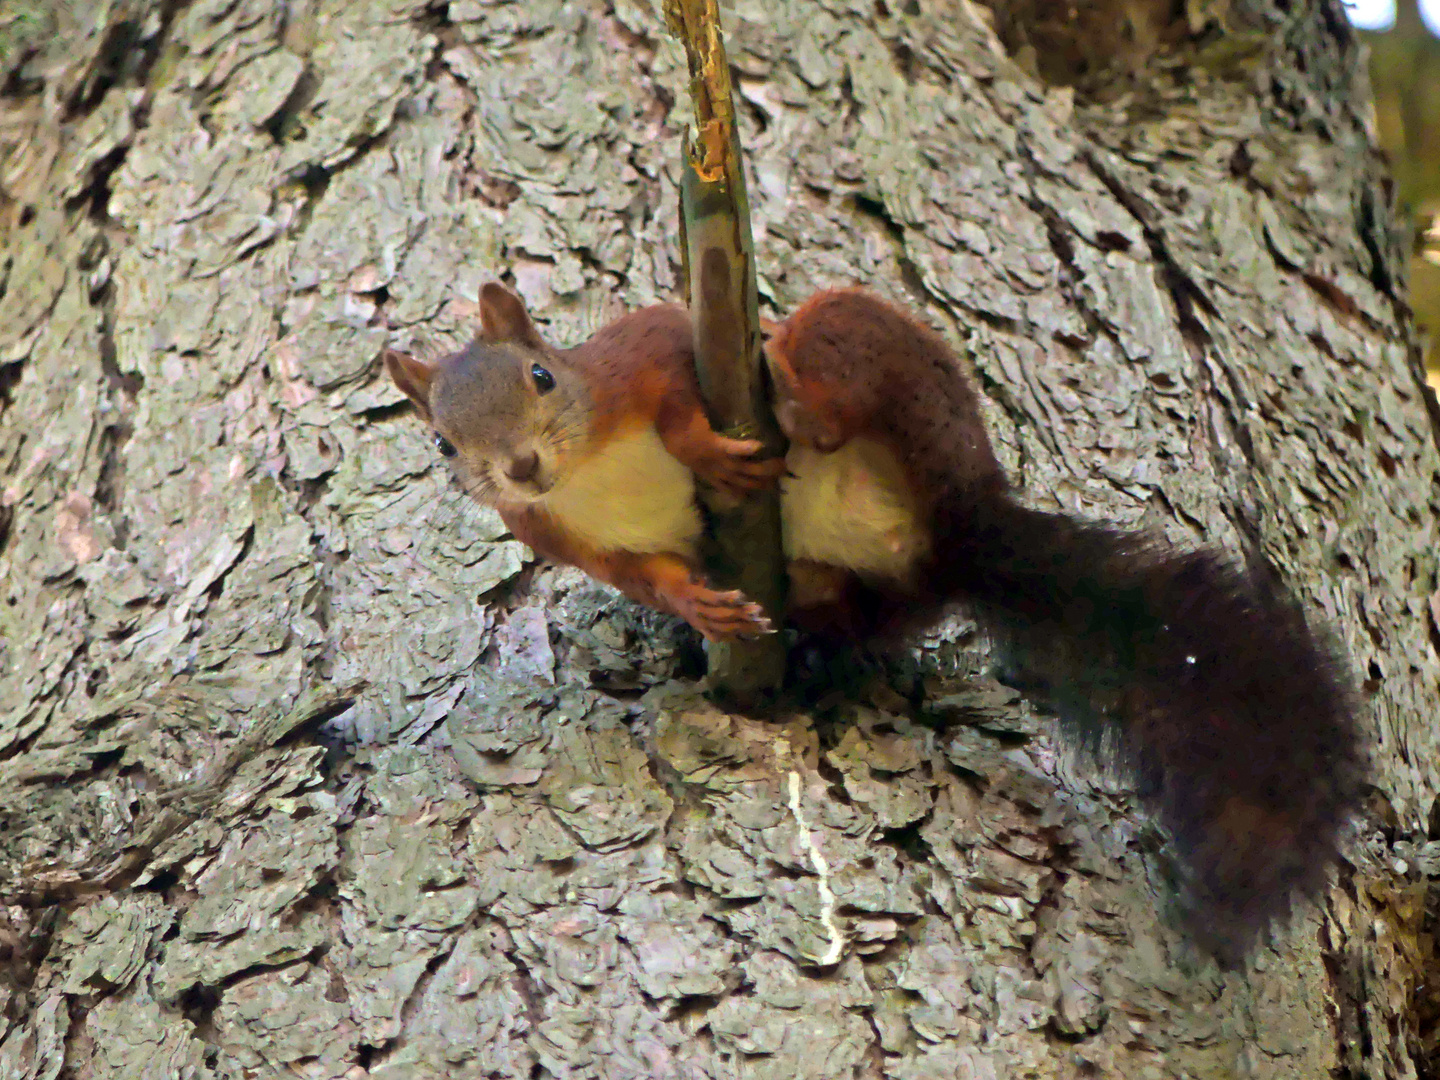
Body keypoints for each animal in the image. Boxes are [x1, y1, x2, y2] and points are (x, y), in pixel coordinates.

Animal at [383, 283, 783, 648]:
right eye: (443, 444)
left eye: (543, 376)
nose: (522, 466)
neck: (584, 472)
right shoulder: (570, 543)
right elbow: (649, 577)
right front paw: (698, 606)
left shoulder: (642, 352)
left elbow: (678, 410)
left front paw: (712, 457)